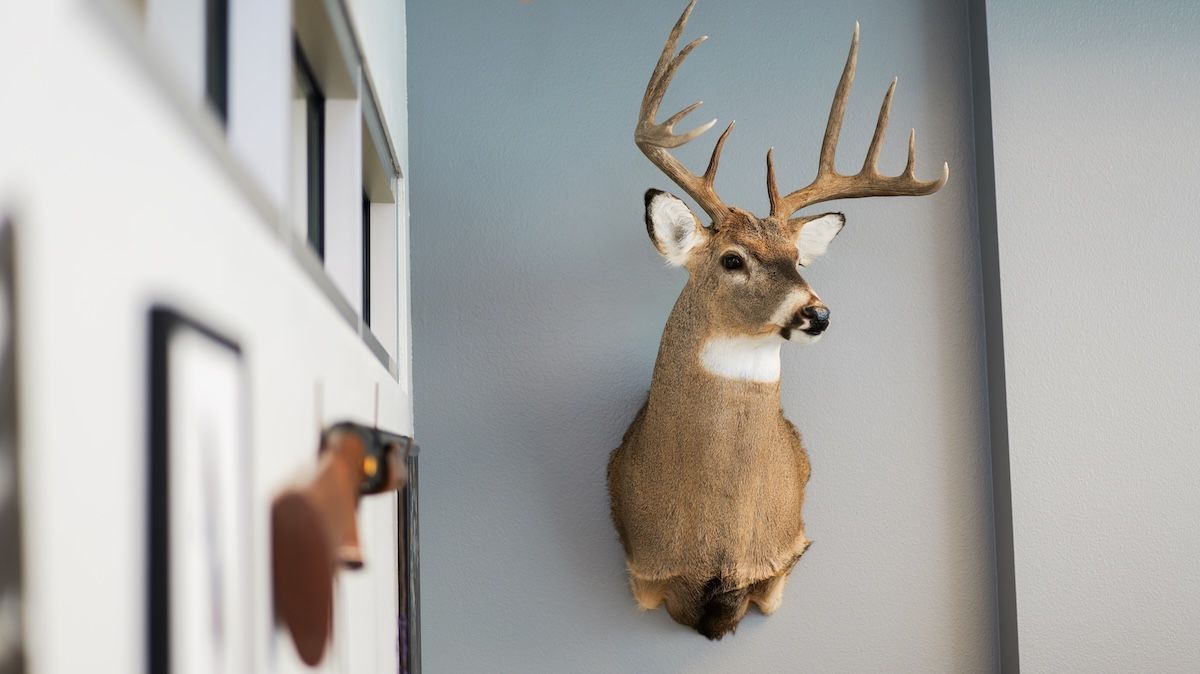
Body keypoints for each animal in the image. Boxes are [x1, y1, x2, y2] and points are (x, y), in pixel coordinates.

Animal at [606, 0, 948, 640]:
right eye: (731, 258)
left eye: (797, 259)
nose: (818, 311)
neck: (719, 545)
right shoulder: (642, 570)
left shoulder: (788, 556)